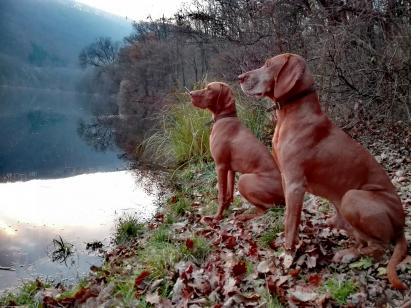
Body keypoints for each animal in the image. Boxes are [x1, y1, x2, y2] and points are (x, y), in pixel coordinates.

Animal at [189, 82, 284, 221]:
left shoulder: (220, 166)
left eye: (209, 89)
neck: (225, 118)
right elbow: (229, 193)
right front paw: (225, 210)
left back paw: (245, 215)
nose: (190, 93)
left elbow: (221, 194)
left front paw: (217, 217)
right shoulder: (230, 169)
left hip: (244, 180)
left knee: (267, 208)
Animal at [238, 52, 408, 288]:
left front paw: (287, 255)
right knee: (361, 239)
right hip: (340, 213)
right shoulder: (285, 179)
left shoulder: (294, 184)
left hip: (352, 197)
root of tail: (402, 225)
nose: (240, 77)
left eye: (269, 65)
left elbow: (290, 223)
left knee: (380, 247)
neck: (290, 113)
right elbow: (290, 216)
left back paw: (348, 254)